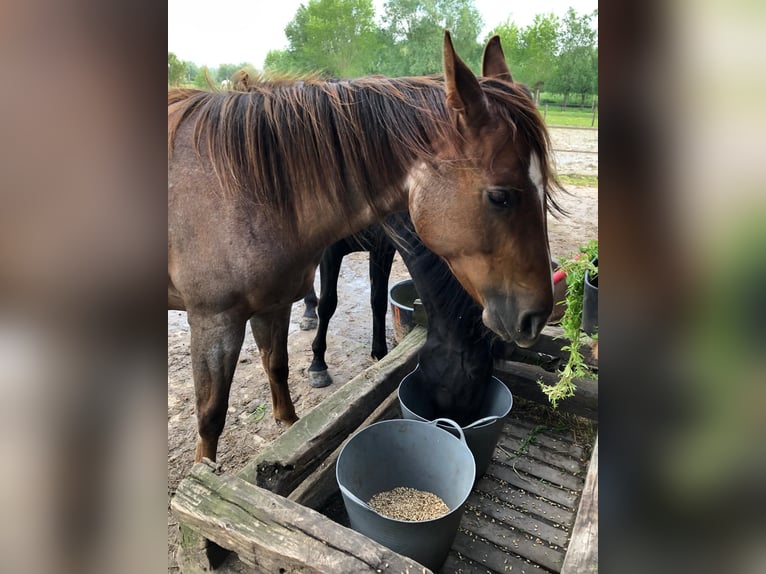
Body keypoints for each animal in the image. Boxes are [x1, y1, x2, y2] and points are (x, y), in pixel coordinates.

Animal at [168, 32, 564, 464]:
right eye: (500, 197)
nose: (535, 317)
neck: (247, 188)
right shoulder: (216, 321)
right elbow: (211, 415)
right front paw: (317, 365)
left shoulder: (281, 300)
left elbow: (281, 365)